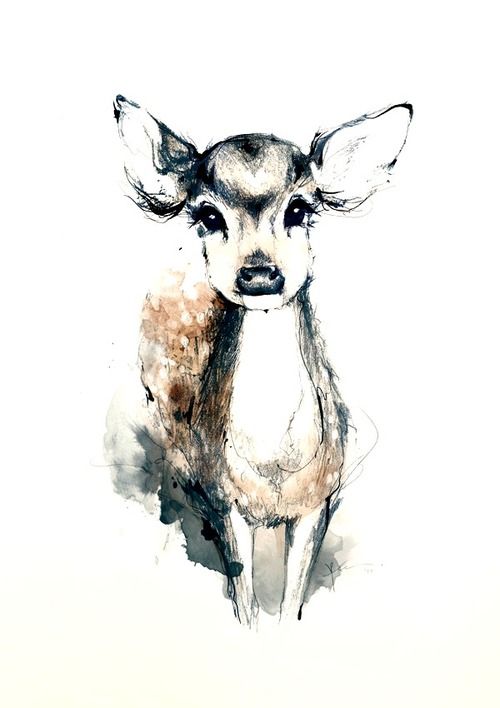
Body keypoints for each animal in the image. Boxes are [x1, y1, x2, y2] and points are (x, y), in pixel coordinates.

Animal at [110, 95, 412, 626]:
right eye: (208, 215)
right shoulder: (224, 500)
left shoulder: (318, 501)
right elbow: (246, 600)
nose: (259, 275)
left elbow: (291, 600)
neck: (274, 465)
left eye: (299, 207)